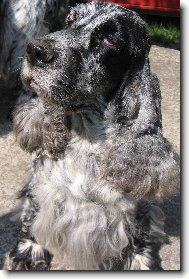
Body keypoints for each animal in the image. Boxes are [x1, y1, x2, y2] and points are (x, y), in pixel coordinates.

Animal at [9, 0, 180, 272]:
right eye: (69, 20)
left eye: (109, 39)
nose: (34, 50)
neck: (86, 139)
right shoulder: (41, 187)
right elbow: (32, 216)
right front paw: (29, 251)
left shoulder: (137, 207)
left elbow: (139, 236)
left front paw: (140, 262)